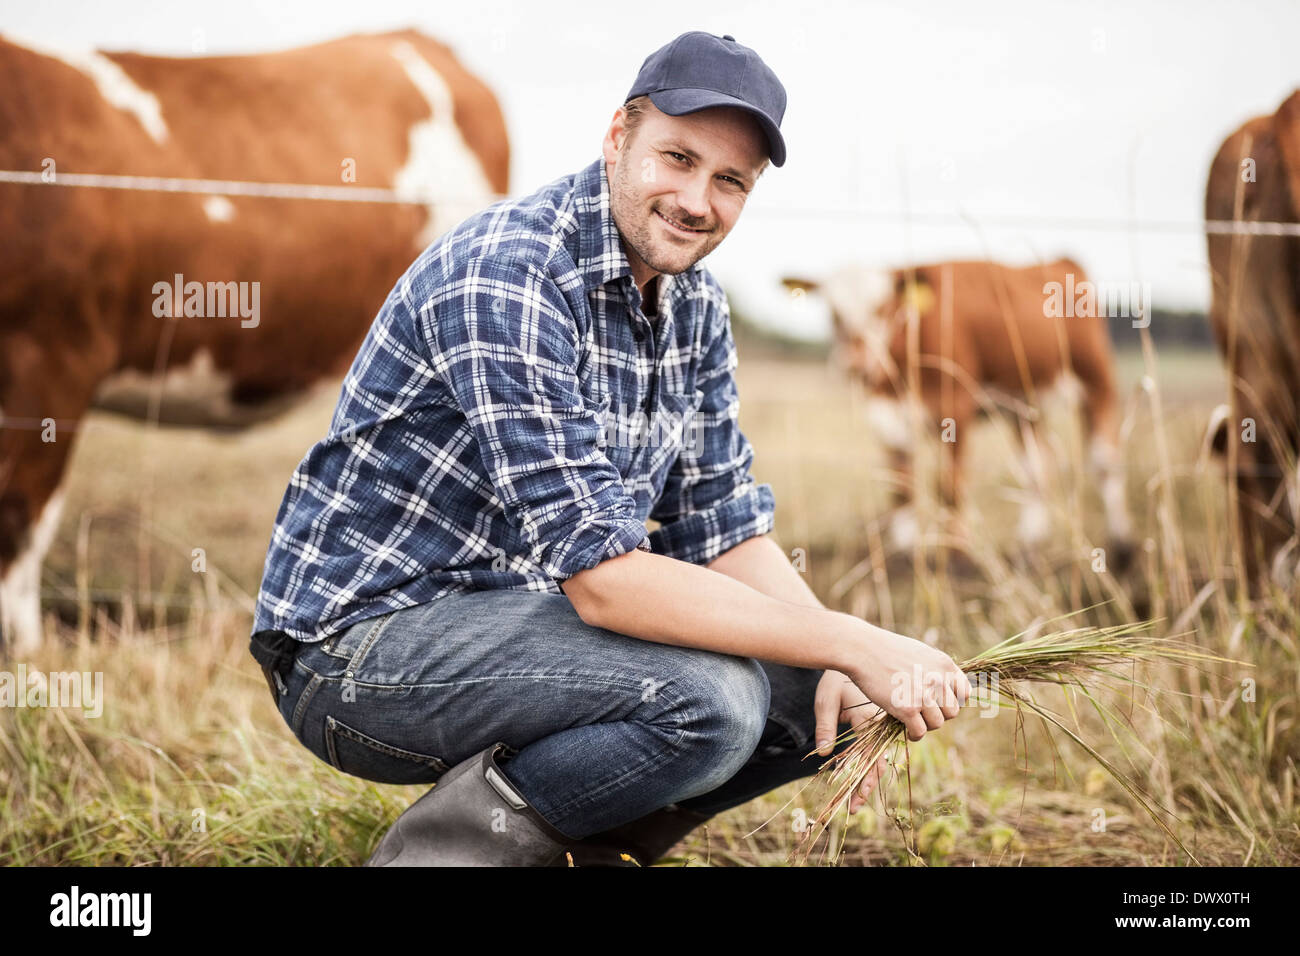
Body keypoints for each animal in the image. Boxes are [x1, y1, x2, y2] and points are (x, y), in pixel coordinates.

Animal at [785, 257, 1133, 564]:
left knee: (1105, 463)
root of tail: (1062, 261)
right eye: (834, 313)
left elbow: (949, 486)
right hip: (1026, 405)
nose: (855, 365)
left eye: (882, 310)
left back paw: (1121, 546)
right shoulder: (887, 414)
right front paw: (905, 551)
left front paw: (956, 551)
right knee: (1037, 468)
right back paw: (1029, 544)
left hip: (1097, 382)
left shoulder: (954, 410)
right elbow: (902, 487)